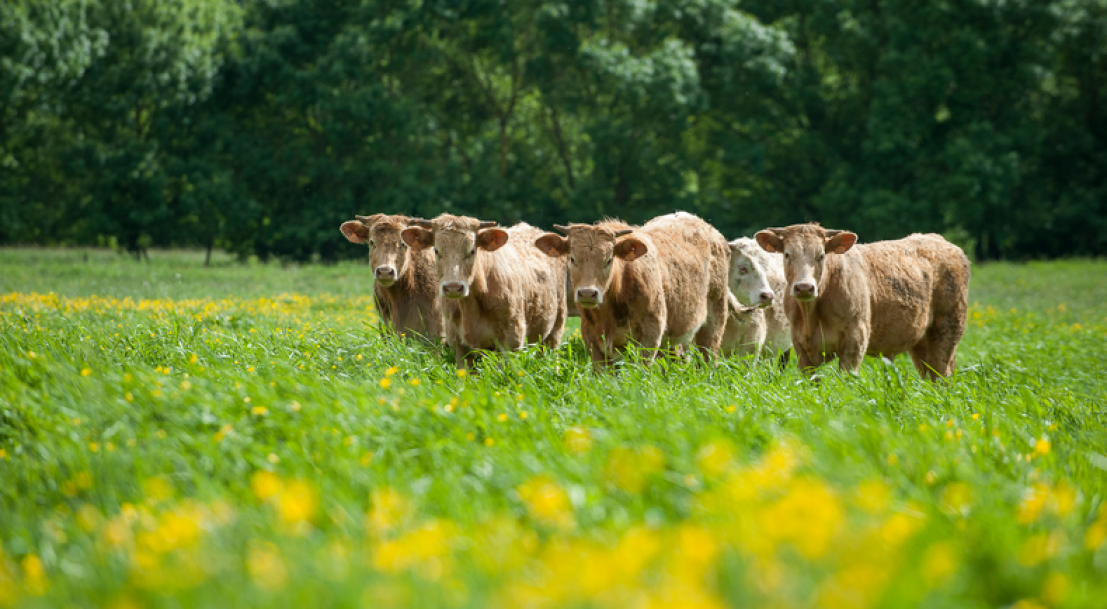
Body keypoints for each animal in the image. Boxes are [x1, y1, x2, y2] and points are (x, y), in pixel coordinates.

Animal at [400, 212, 571, 369]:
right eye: (436, 250)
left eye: (472, 251)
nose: (453, 287)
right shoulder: (458, 344)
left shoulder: (512, 340)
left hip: (554, 332)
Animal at [752, 222, 969, 378]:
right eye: (787, 254)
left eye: (820, 255)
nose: (804, 287)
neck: (811, 316)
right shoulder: (801, 346)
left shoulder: (855, 339)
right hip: (921, 342)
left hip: (946, 332)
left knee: (941, 375)